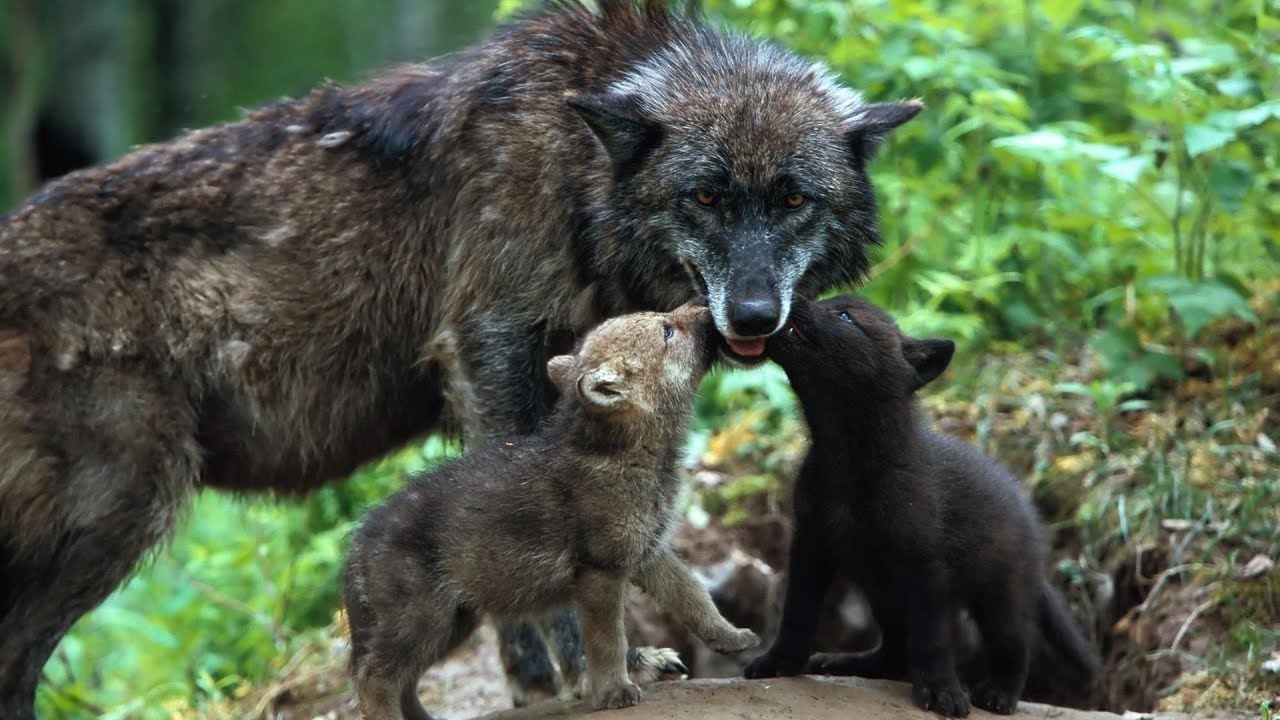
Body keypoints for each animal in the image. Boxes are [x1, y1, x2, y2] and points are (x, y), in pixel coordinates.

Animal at [0, 0, 921, 712]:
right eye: (704, 197)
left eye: (793, 200)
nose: (758, 313)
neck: (574, 172)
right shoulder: (492, 349)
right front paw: (589, 670)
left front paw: (539, 681)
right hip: (119, 514)